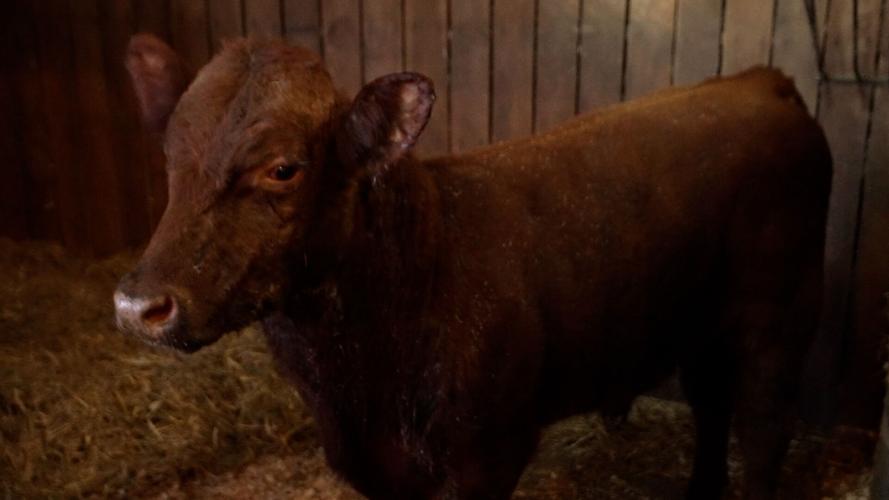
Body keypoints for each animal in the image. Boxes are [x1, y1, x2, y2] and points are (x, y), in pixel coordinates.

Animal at [114, 34, 832, 500]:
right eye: (170, 156)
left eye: (283, 168)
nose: (139, 306)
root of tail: (757, 80)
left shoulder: (487, 452)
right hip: (701, 322)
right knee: (712, 406)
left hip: (780, 312)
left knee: (762, 427)